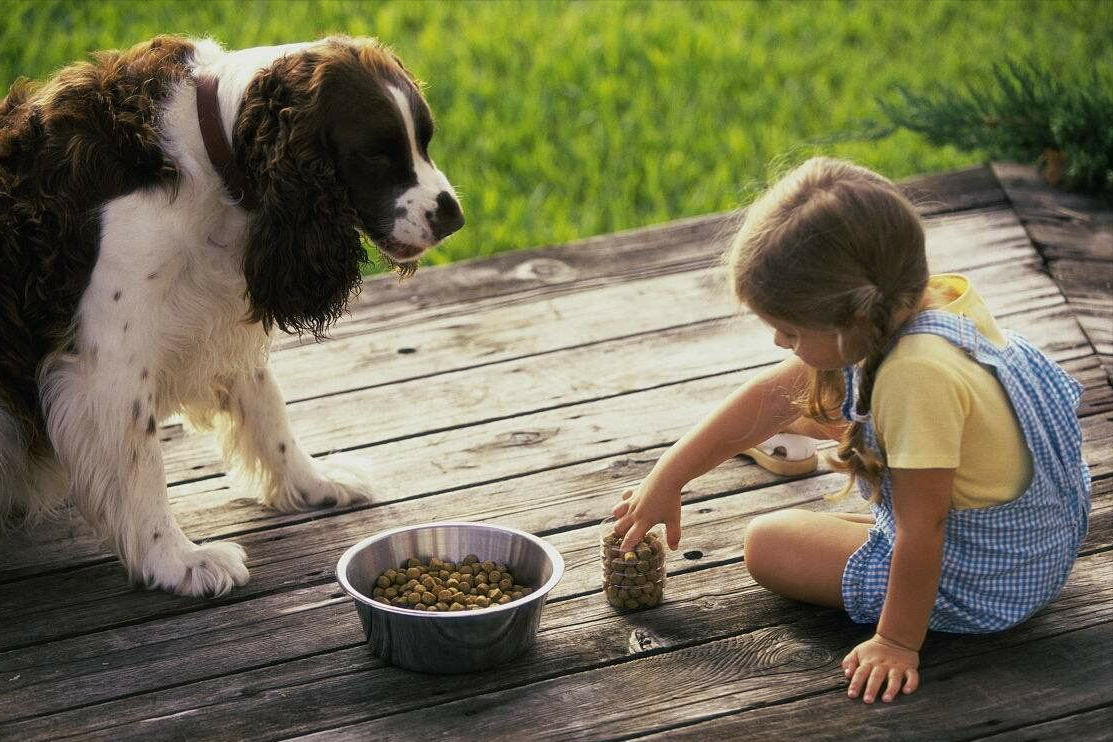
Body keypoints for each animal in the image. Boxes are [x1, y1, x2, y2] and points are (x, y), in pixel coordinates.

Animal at [0, 37, 460, 600]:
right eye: (376, 152)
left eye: (425, 141)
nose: (454, 215)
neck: (206, 150)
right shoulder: (106, 360)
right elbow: (141, 463)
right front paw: (177, 561)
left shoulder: (213, 315)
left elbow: (268, 407)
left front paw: (313, 483)